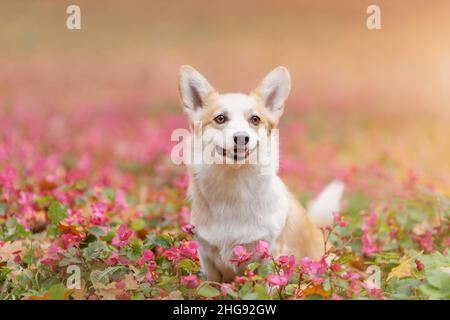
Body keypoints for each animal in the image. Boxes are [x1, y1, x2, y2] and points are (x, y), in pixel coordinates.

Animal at [177, 65, 344, 282]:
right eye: (220, 118)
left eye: (255, 119)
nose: (242, 138)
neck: (233, 187)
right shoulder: (208, 260)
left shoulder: (269, 256)